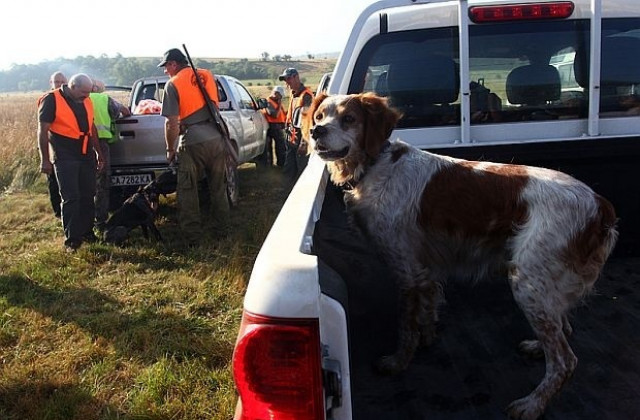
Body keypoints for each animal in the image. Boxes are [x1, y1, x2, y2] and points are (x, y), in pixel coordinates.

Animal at [302, 93, 616, 420]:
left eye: (349, 118)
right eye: (319, 116)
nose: (316, 132)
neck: (376, 166)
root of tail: (599, 204)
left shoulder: (406, 269)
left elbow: (406, 325)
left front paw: (398, 361)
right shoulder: (424, 270)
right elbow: (427, 310)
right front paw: (427, 337)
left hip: (527, 282)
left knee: (565, 360)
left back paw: (531, 404)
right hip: (547, 283)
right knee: (562, 327)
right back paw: (536, 347)